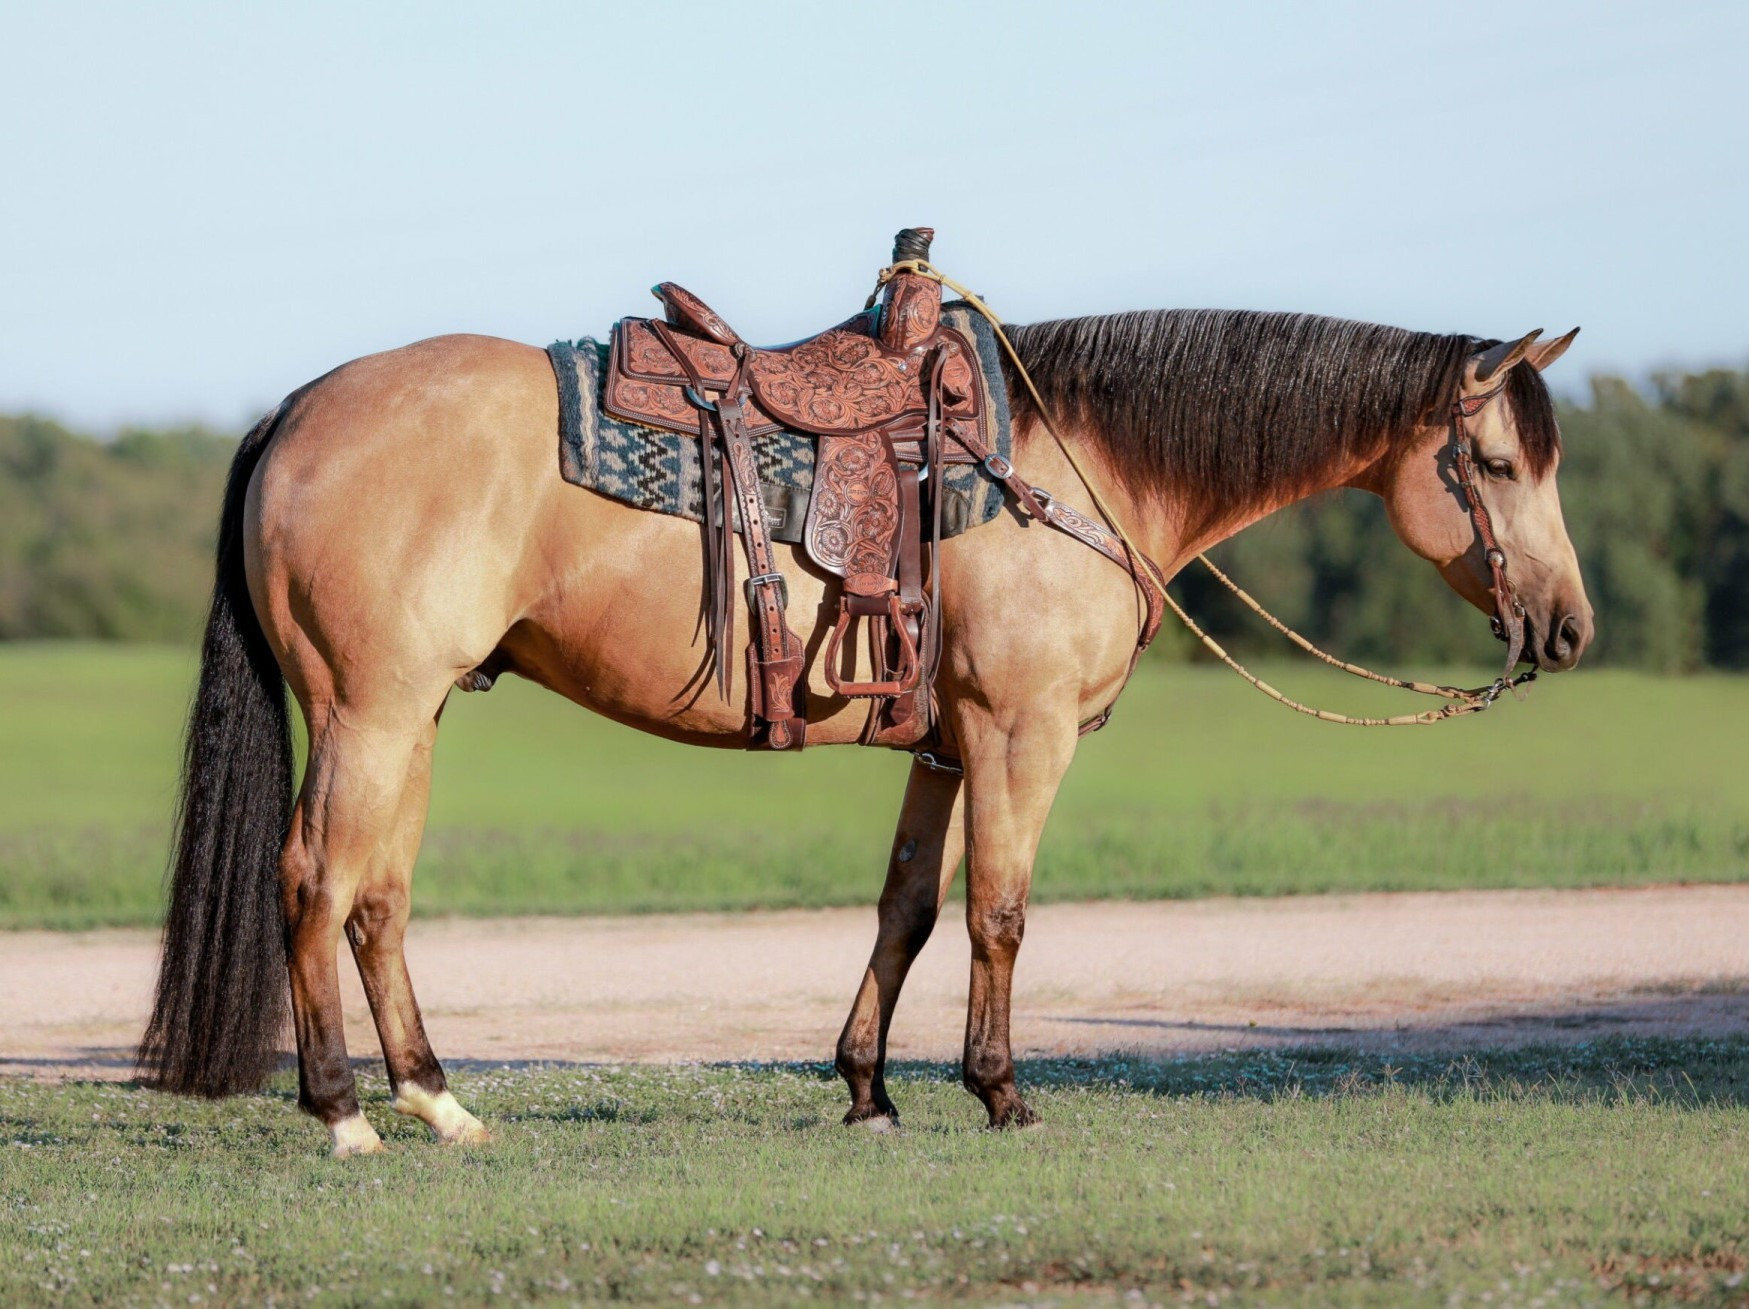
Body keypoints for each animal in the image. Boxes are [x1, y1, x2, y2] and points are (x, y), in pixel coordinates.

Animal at [136, 229, 1595, 1148]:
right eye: (1497, 465)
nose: (1569, 630)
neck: (1075, 460)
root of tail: (301, 409)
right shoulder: (1019, 735)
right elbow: (1000, 910)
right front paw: (999, 1092)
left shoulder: (942, 745)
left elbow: (907, 910)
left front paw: (869, 1090)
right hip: (368, 711)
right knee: (314, 881)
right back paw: (340, 1113)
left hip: (412, 717)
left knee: (377, 898)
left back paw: (436, 1100)